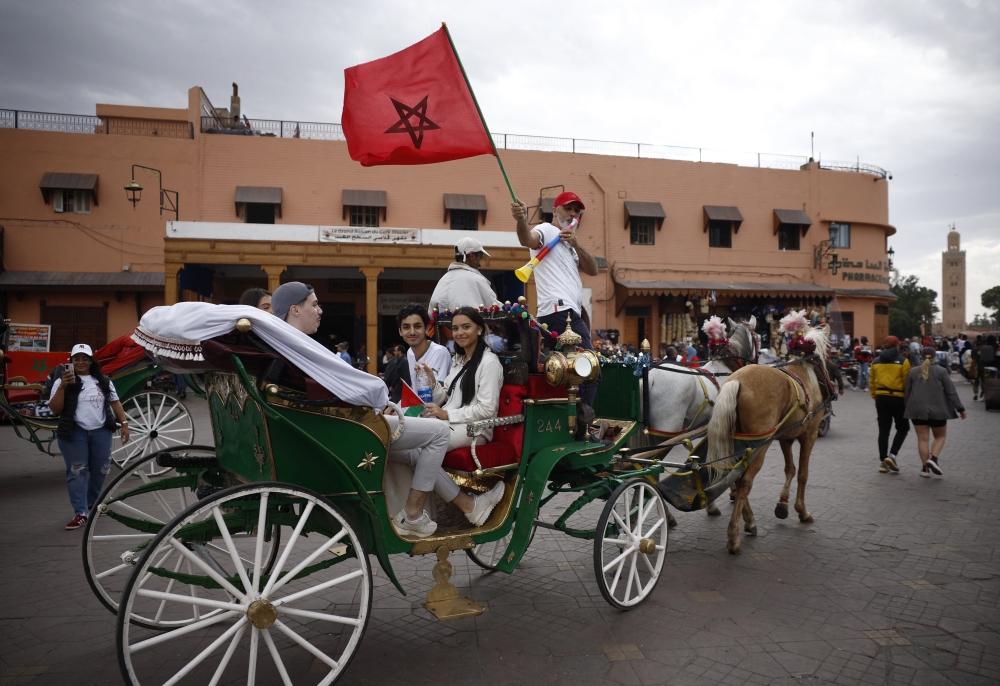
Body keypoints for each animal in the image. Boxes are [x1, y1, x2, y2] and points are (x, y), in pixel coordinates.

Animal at [708, 326, 832, 556]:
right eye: (829, 353)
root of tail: (736, 381)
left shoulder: (785, 437)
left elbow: (790, 469)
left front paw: (783, 504)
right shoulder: (809, 434)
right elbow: (803, 474)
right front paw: (802, 511)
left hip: (738, 441)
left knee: (735, 478)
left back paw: (748, 521)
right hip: (760, 444)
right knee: (744, 481)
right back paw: (734, 536)